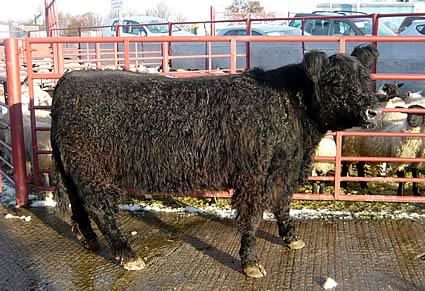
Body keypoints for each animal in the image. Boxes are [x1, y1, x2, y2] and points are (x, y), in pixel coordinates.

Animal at [51, 45, 380, 278]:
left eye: (366, 78)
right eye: (335, 82)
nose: (373, 111)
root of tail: (70, 78)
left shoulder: (283, 170)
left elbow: (283, 204)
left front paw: (291, 239)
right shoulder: (254, 175)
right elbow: (253, 216)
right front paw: (251, 263)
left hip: (75, 168)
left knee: (79, 204)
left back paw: (91, 241)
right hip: (92, 169)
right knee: (99, 208)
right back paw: (128, 255)